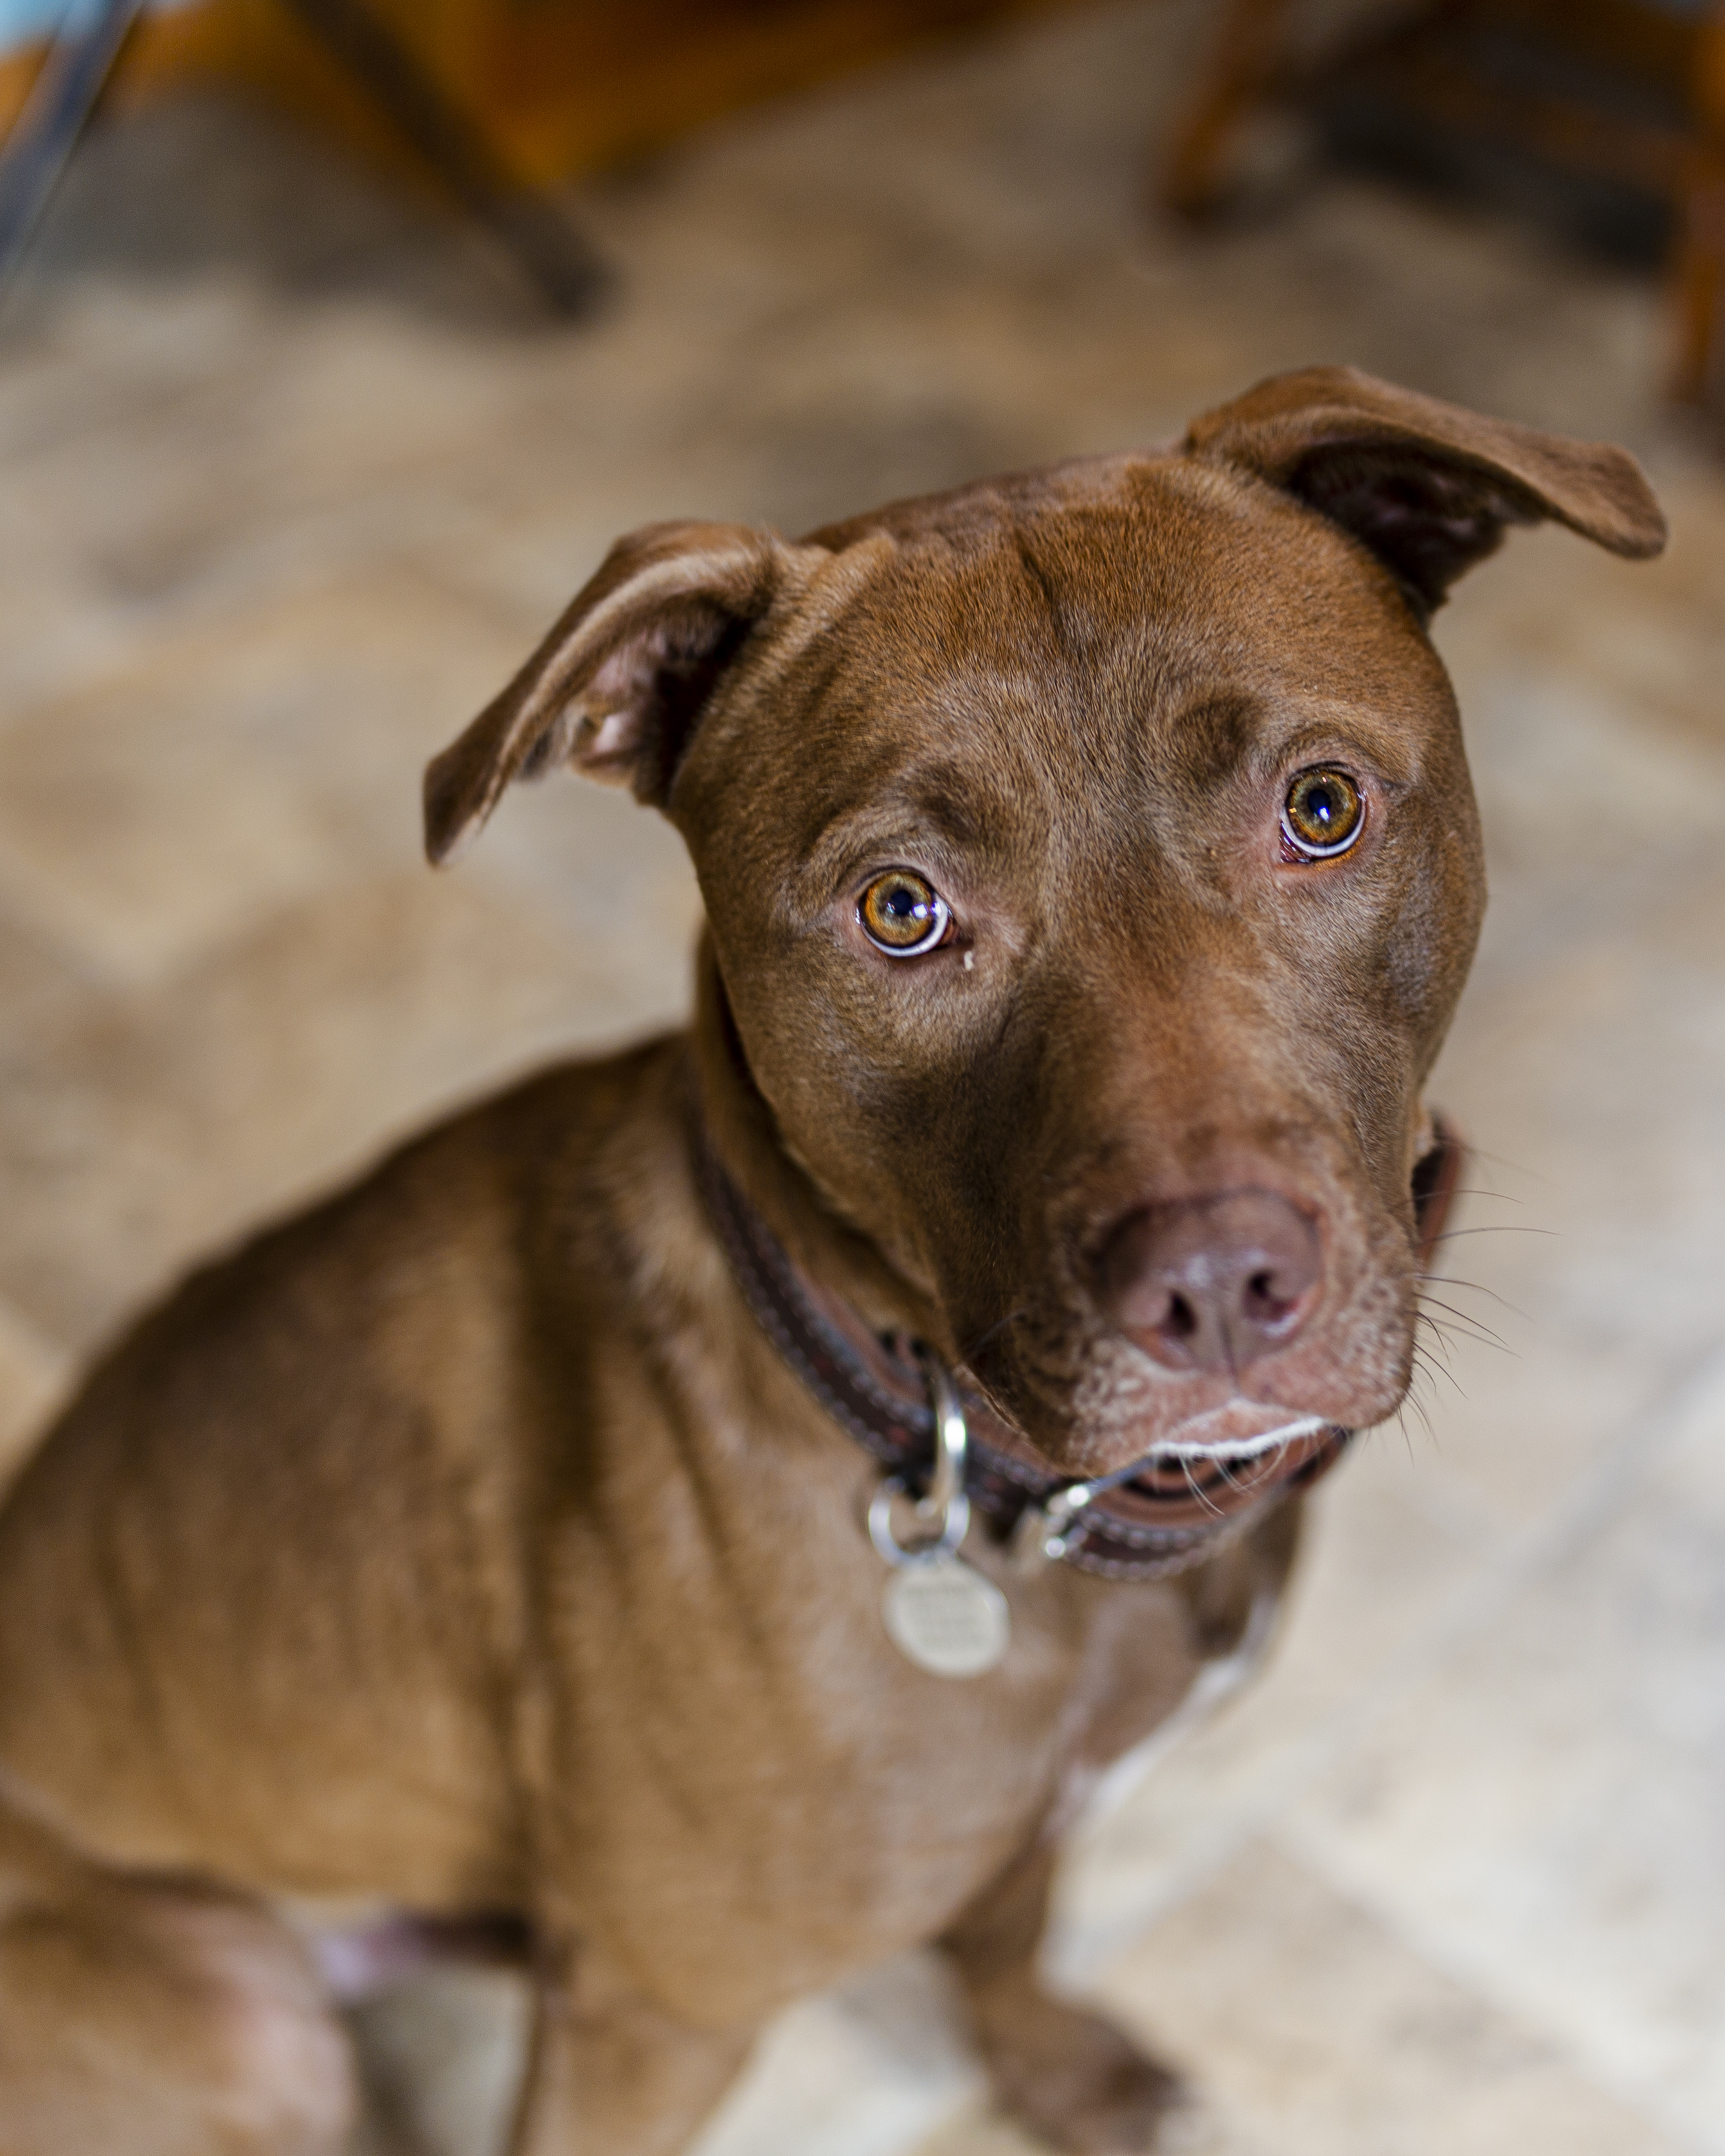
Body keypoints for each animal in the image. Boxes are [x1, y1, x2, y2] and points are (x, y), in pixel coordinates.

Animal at [0, 370, 1665, 2156]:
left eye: (1324, 809)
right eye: (901, 909)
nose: (1219, 1285)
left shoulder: (1026, 1828)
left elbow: (1009, 1928)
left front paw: (1055, 2074)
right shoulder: (647, 2019)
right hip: (247, 2024)